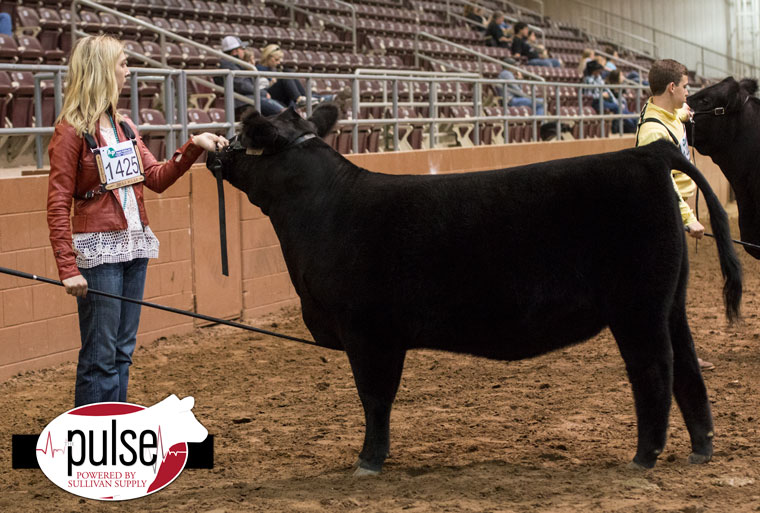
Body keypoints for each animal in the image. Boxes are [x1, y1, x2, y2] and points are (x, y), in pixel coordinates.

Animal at [208, 103, 742, 476]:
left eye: (248, 137)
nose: (214, 146)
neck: (326, 209)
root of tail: (647, 153)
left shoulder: (368, 331)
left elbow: (375, 397)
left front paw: (368, 461)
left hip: (638, 306)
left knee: (655, 368)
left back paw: (644, 456)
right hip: (670, 302)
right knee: (688, 364)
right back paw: (701, 448)